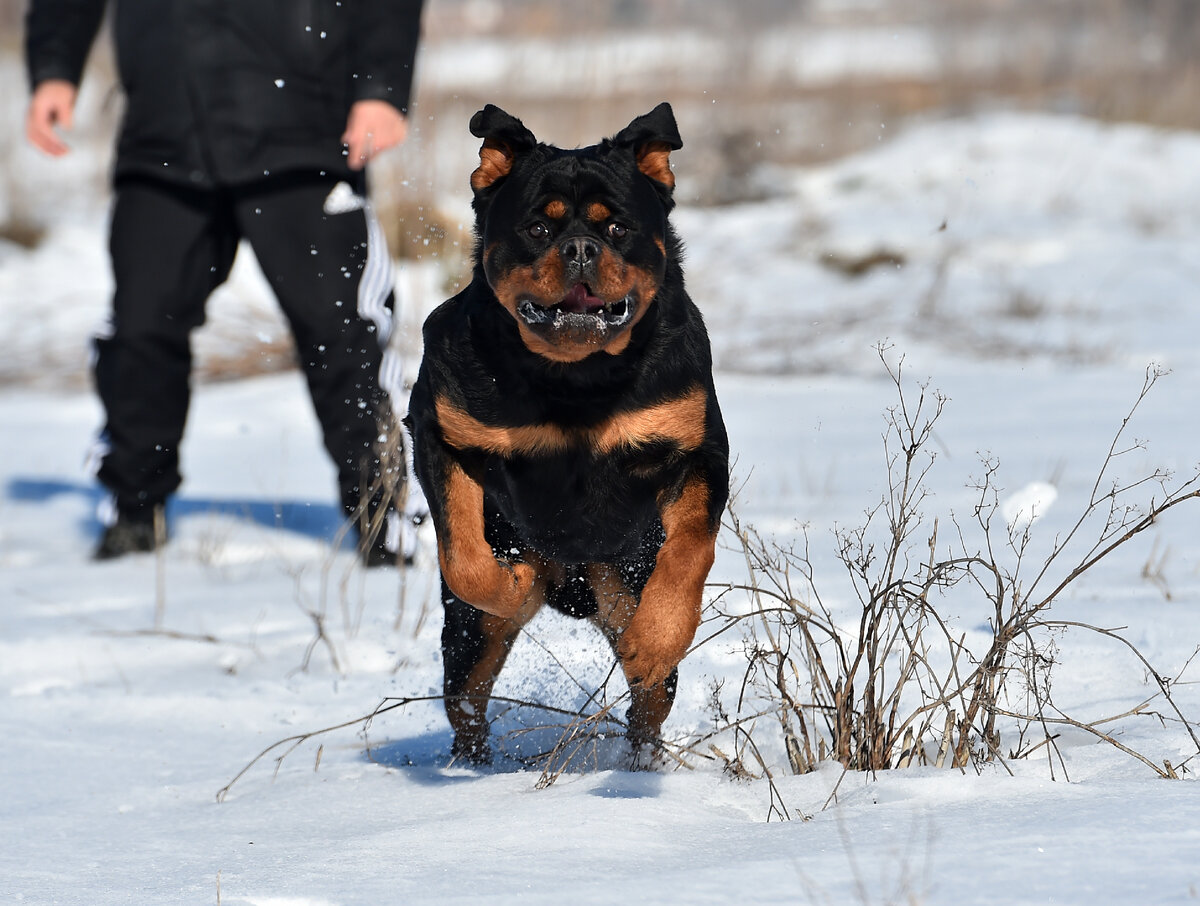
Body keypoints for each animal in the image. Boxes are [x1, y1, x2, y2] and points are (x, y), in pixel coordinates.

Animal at [405, 100, 729, 763]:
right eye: (537, 228)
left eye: (617, 228)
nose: (580, 247)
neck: (577, 379)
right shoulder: (438, 430)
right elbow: (465, 556)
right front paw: (513, 580)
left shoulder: (698, 448)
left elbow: (691, 548)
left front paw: (659, 635)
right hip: (467, 643)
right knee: (467, 701)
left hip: (621, 582)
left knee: (648, 703)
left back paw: (639, 760)